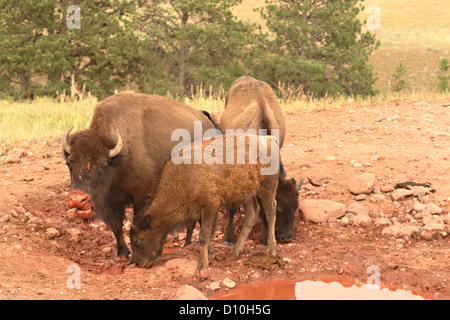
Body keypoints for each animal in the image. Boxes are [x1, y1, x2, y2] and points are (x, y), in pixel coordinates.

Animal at [62, 92, 216, 258]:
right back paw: (187, 244)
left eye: (102, 165)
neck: (119, 160)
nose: (78, 200)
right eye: (69, 163)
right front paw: (122, 253)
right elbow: (116, 227)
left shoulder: (141, 197)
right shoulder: (112, 201)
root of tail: (207, 122)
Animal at [128, 134, 280, 276]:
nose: (137, 263)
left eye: (136, 241)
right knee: (252, 213)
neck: (180, 180)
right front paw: (210, 254)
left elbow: (204, 235)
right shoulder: (202, 210)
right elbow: (208, 232)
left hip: (268, 186)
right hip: (246, 193)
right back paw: (235, 252)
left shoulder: (211, 206)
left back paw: (272, 249)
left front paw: (202, 266)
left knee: (270, 211)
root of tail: (269, 139)